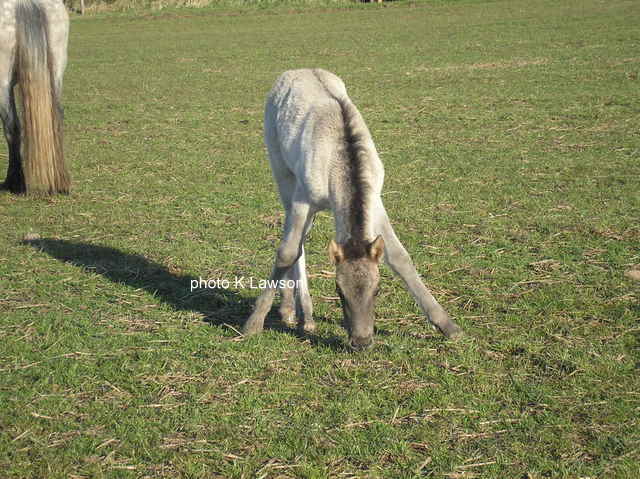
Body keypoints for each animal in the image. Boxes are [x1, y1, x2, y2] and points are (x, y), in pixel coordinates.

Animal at [242, 69, 463, 350]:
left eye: (378, 289)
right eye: (339, 291)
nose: (361, 341)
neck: (338, 165)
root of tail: (295, 71)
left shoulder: (376, 201)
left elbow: (400, 258)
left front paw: (449, 326)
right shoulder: (303, 198)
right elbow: (287, 252)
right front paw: (253, 323)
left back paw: (302, 314)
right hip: (282, 170)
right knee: (294, 239)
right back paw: (295, 311)